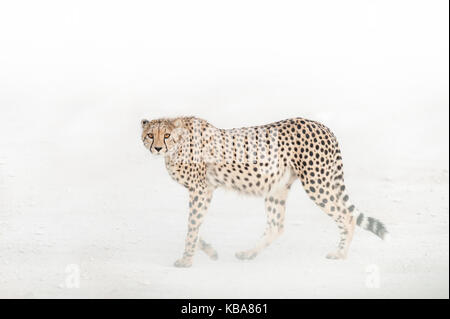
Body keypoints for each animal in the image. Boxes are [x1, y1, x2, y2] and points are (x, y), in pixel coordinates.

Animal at [140, 117, 386, 268]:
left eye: (166, 135)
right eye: (150, 135)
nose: (157, 147)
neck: (177, 145)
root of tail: (322, 126)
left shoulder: (200, 189)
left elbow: (192, 226)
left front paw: (186, 260)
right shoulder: (206, 190)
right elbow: (194, 225)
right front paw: (208, 251)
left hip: (317, 183)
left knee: (347, 216)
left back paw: (340, 254)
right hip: (278, 187)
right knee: (276, 226)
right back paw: (248, 253)